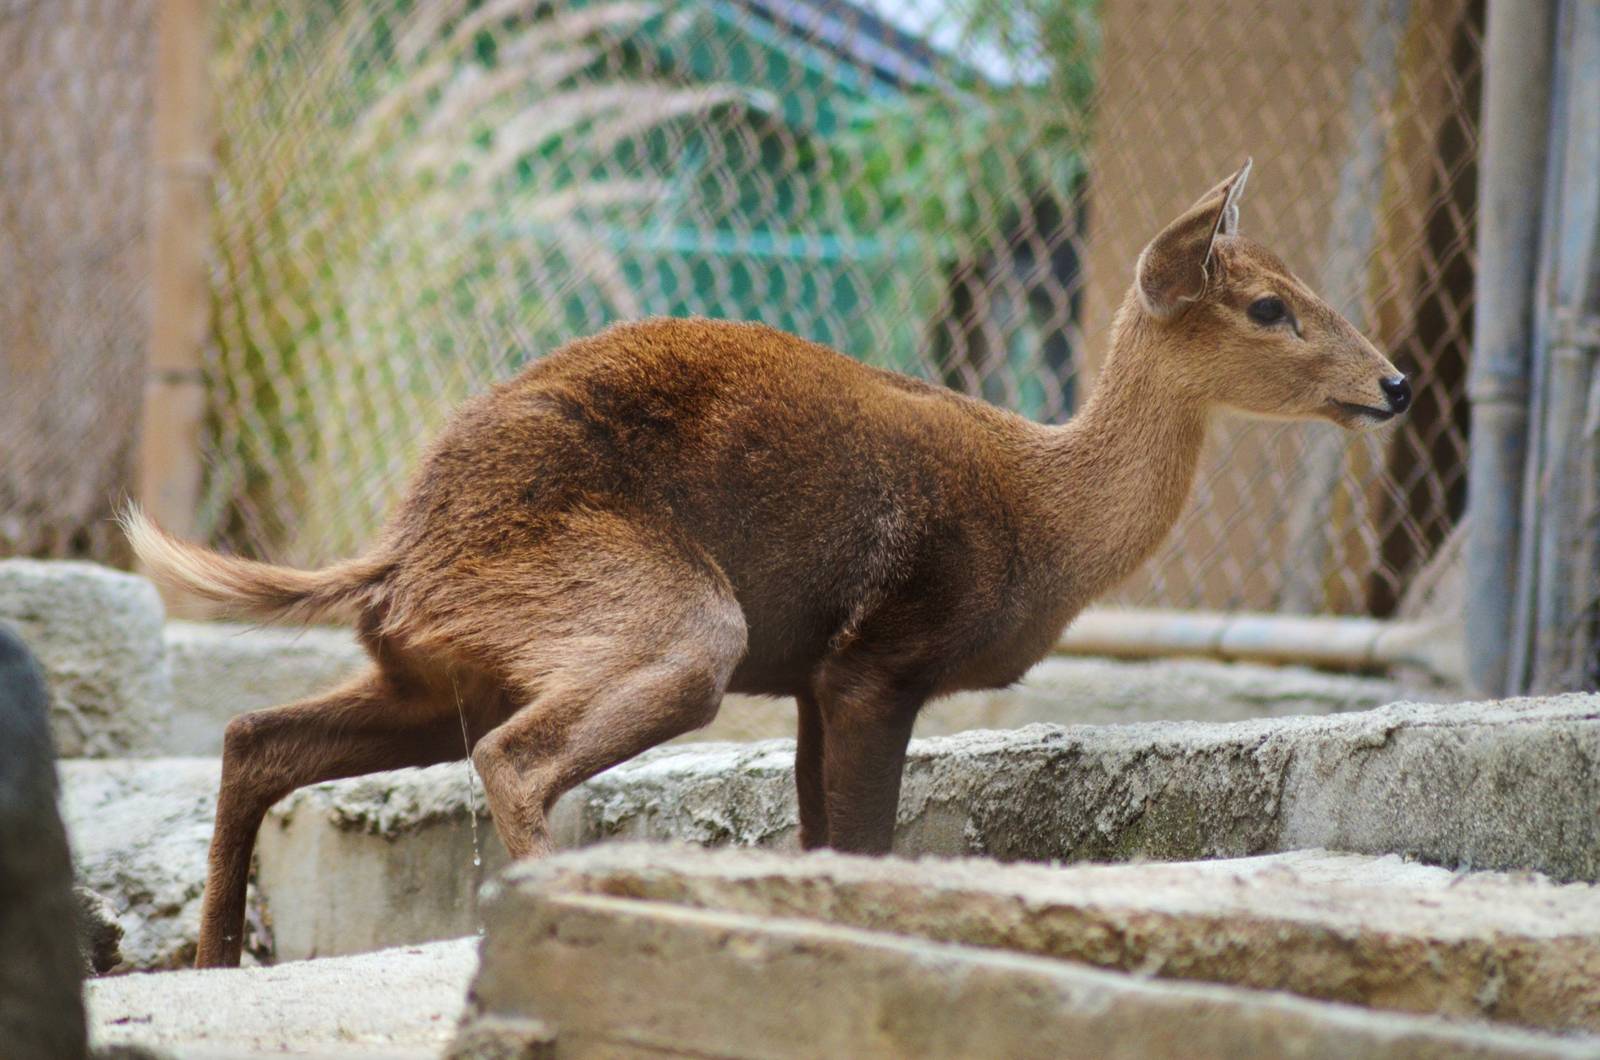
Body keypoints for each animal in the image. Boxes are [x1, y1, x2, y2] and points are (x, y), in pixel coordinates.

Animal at [123, 160, 1411, 968]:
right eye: (1268, 306)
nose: (1395, 383)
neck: (1046, 514)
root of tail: (403, 540)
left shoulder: (808, 681)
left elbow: (817, 842)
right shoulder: (880, 657)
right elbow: (863, 844)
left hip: (445, 667)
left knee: (253, 736)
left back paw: (208, 965)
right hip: (671, 621)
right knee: (513, 757)